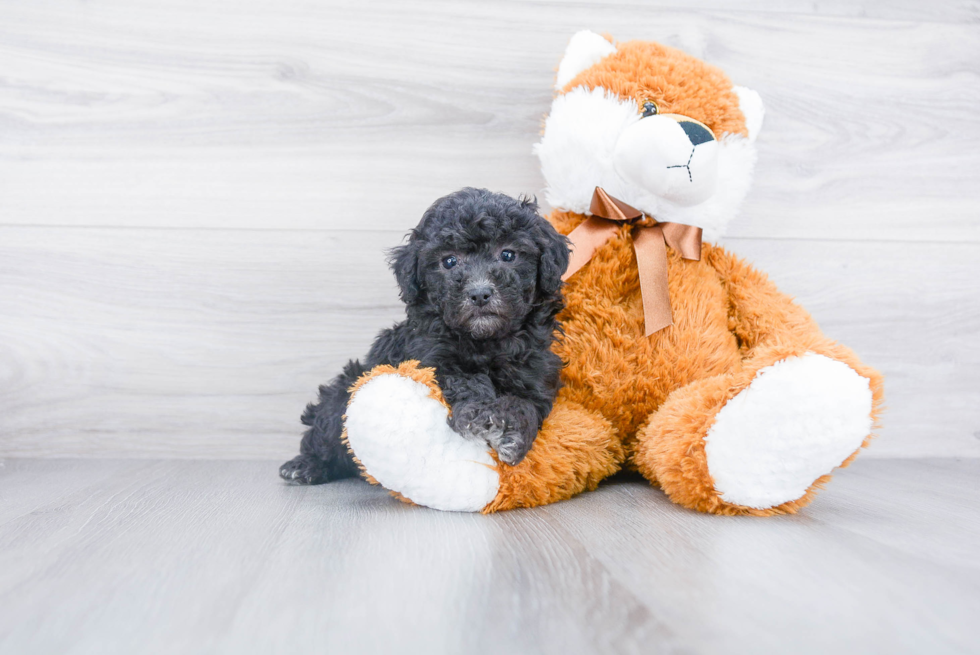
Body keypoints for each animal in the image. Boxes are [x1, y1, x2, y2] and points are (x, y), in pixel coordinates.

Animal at [280, 187, 572, 484]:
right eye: (449, 261)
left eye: (508, 255)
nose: (479, 293)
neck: (485, 341)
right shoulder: (428, 359)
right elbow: (465, 380)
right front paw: (479, 413)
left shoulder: (535, 372)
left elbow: (525, 405)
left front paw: (510, 430)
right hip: (343, 391)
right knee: (325, 428)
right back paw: (305, 465)